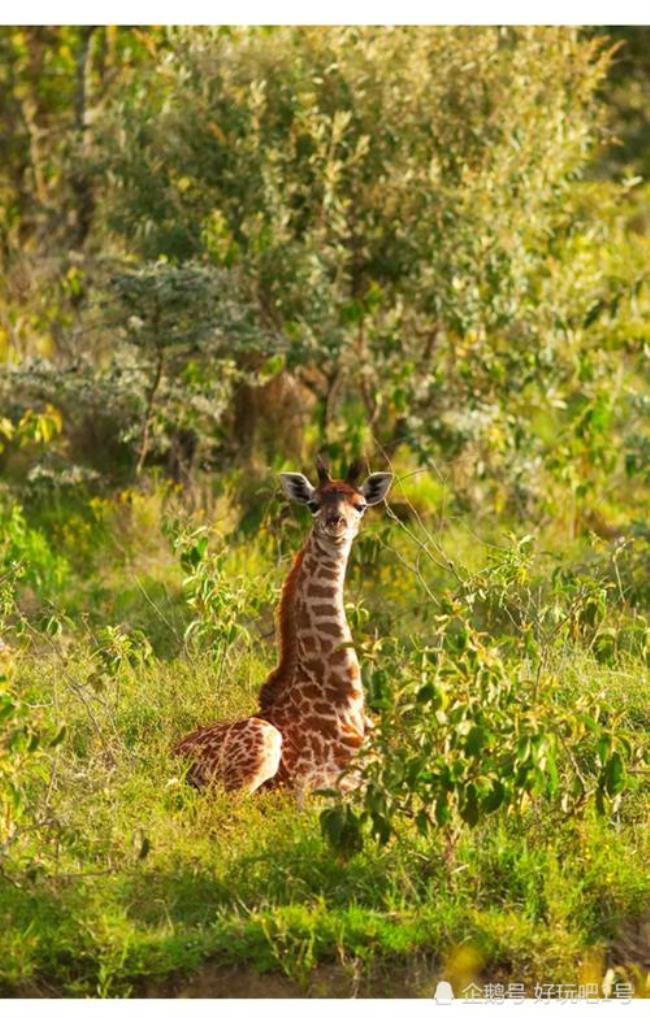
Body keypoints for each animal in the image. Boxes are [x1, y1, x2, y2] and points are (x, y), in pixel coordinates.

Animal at [172, 459, 394, 793]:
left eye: (362, 505)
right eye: (313, 504)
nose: (335, 523)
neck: (343, 695)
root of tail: (170, 758)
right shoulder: (347, 779)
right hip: (262, 745)